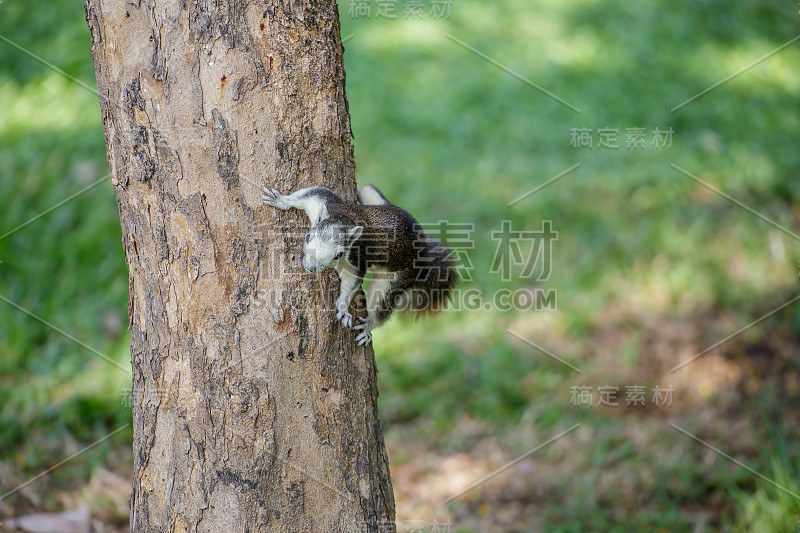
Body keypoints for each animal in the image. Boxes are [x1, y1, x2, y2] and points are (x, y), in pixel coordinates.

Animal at [262, 183, 460, 344]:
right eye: (308, 236)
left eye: (339, 255)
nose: (310, 267)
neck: (346, 220)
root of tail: (423, 256)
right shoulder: (325, 201)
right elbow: (309, 193)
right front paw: (280, 200)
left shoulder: (357, 260)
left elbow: (352, 282)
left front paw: (343, 306)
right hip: (374, 197)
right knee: (367, 189)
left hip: (396, 279)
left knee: (380, 306)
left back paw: (368, 326)